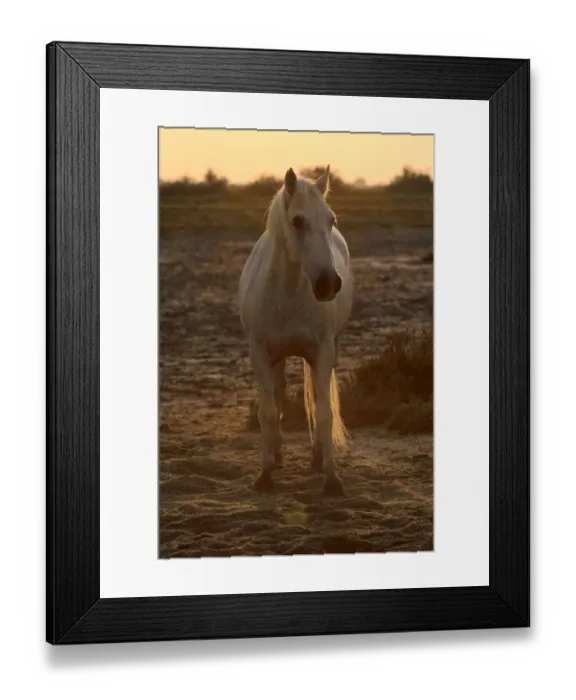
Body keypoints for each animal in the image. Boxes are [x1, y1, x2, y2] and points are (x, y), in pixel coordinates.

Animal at [239, 165, 353, 495]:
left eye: (331, 220)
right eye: (297, 221)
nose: (329, 284)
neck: (288, 292)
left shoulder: (322, 353)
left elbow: (324, 411)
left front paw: (332, 477)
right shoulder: (260, 354)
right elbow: (267, 411)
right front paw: (264, 475)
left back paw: (316, 456)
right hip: (277, 357)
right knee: (277, 395)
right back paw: (276, 455)